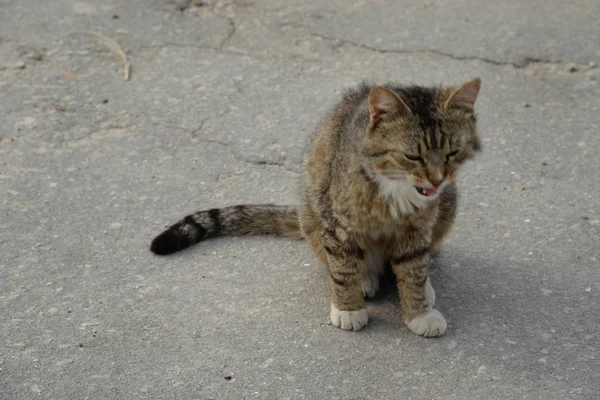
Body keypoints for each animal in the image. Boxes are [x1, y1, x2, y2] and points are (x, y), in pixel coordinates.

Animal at [151, 78, 482, 338]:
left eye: (452, 153)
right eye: (413, 156)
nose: (437, 179)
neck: (397, 189)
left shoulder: (417, 228)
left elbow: (413, 269)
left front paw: (418, 311)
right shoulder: (336, 224)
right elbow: (342, 268)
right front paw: (348, 308)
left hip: (447, 205)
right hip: (313, 216)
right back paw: (365, 279)